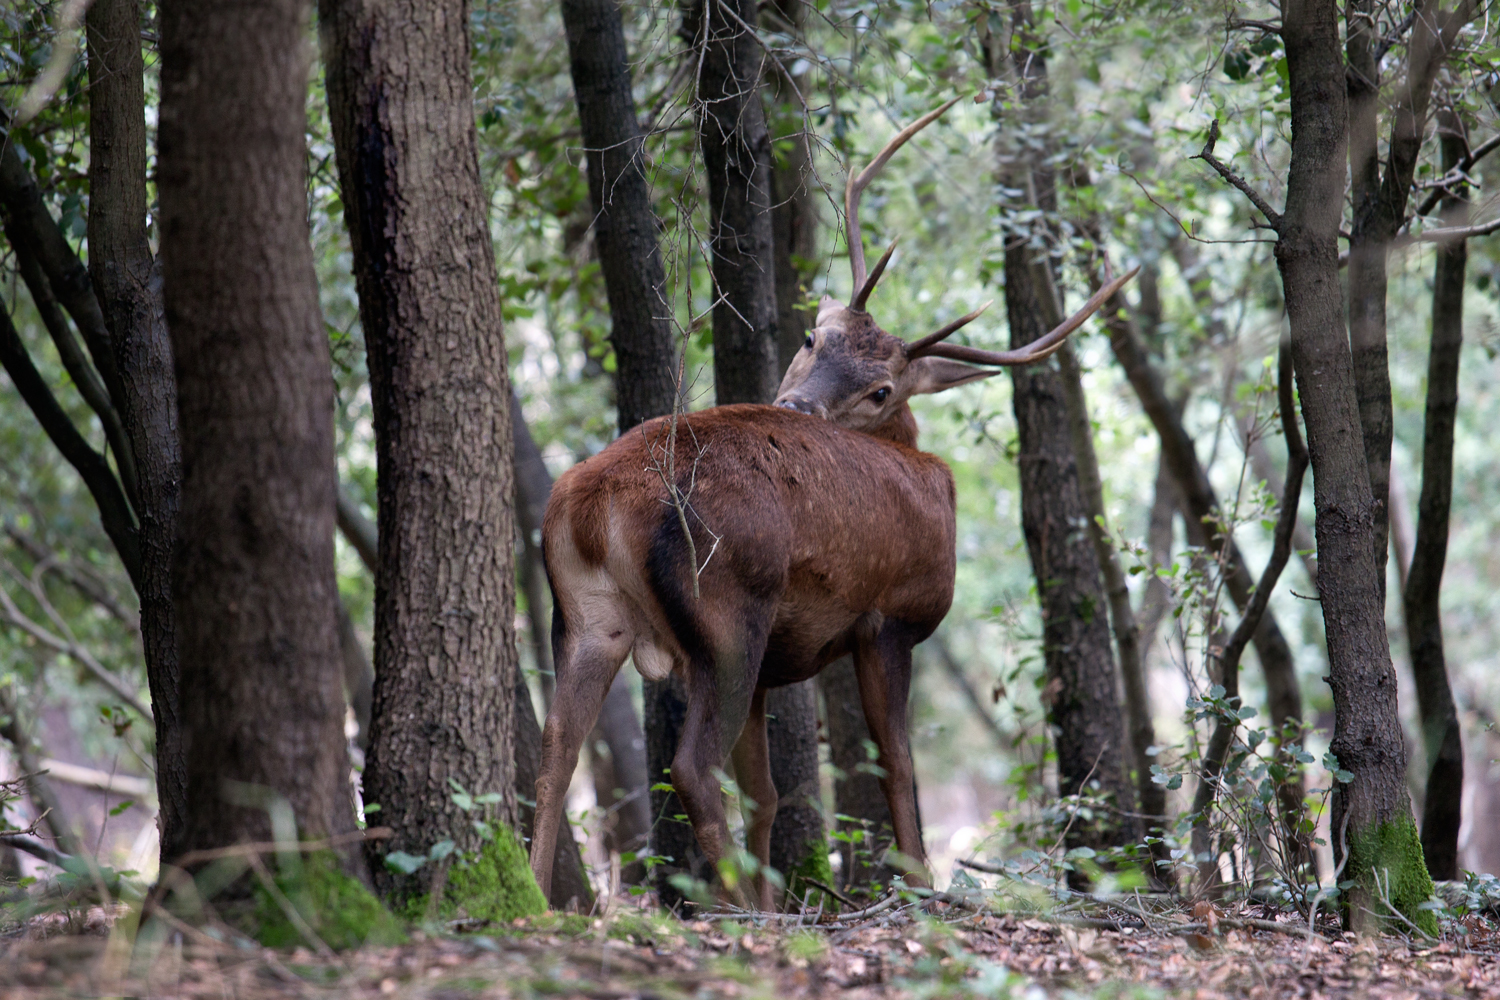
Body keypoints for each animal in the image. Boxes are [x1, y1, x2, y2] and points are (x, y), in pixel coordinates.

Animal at [527, 98, 1136, 908]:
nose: (792, 405)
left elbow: (769, 794)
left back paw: (541, 897)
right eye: (815, 336)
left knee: (556, 749)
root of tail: (595, 501)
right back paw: (738, 916)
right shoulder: (893, 616)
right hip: (729, 610)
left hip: (588, 617)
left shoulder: (779, 670)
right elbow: (899, 767)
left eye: (881, 388)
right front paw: (920, 886)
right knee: (689, 766)